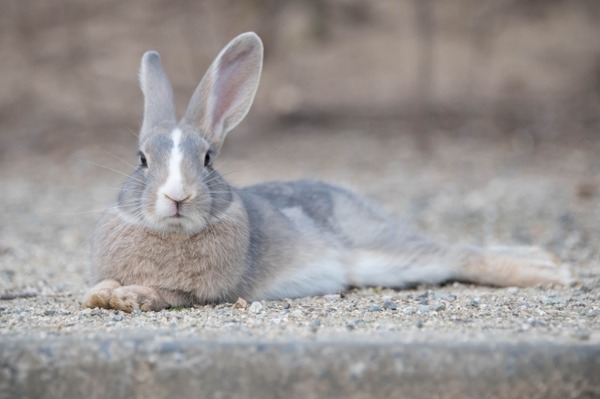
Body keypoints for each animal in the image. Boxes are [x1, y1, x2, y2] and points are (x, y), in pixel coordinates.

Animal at [81, 32, 572, 312]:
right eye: (141, 159)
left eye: (207, 160)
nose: (177, 196)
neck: (172, 234)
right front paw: (102, 293)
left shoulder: (207, 292)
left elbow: (168, 296)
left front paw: (128, 298)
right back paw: (546, 259)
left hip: (384, 254)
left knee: (458, 253)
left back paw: (553, 273)